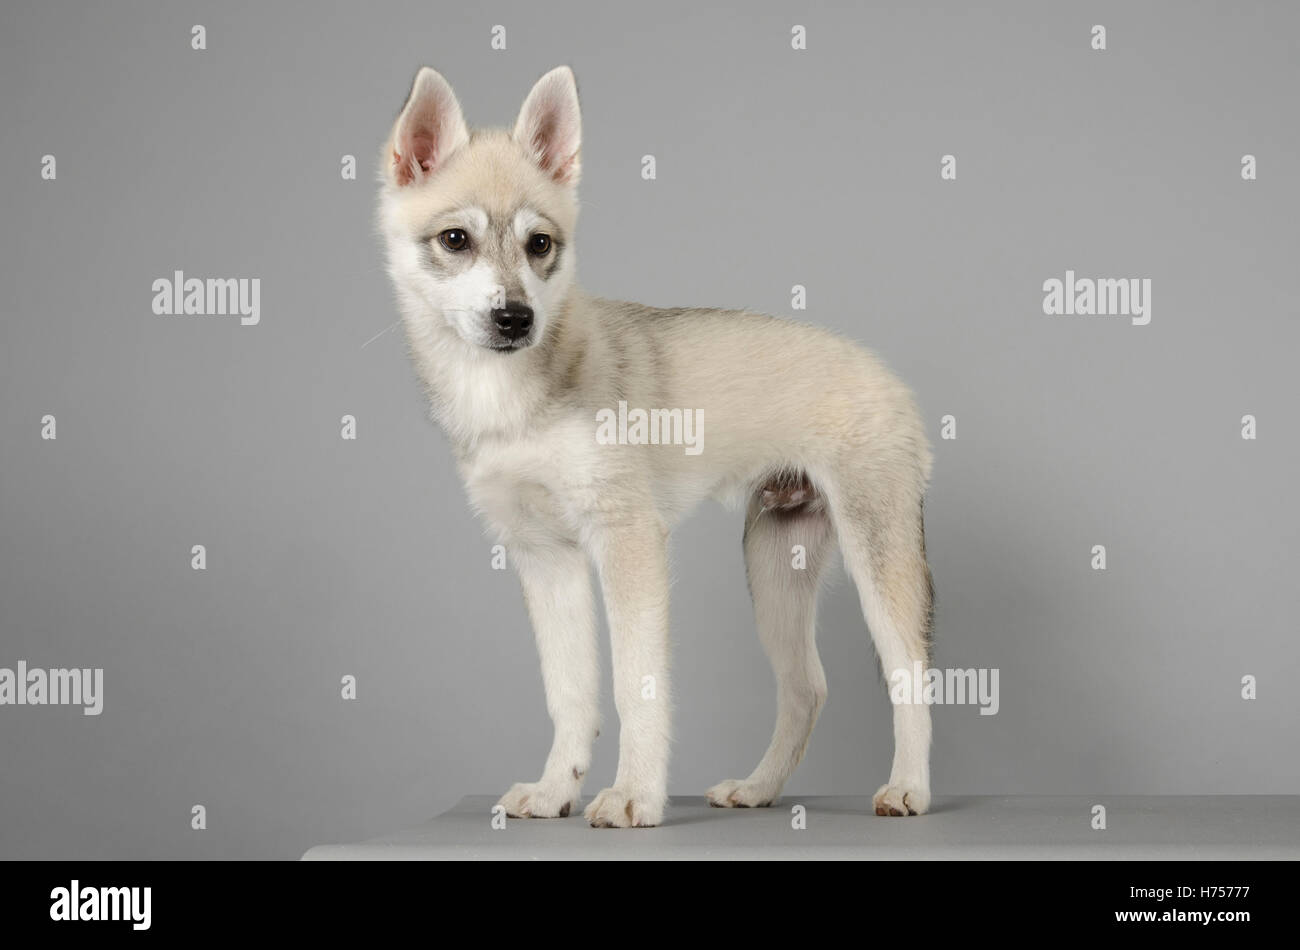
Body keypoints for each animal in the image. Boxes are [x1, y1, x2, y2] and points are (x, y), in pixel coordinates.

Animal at [377, 66, 935, 826]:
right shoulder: (544, 558)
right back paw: (759, 789)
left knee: (912, 674)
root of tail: (887, 375)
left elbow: (634, 686)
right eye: (455, 239)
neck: (511, 395)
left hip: (876, 553)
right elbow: (570, 693)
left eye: (540, 245)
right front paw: (556, 790)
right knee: (807, 687)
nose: (515, 318)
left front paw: (634, 794)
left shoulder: (628, 539)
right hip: (775, 564)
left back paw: (910, 786)